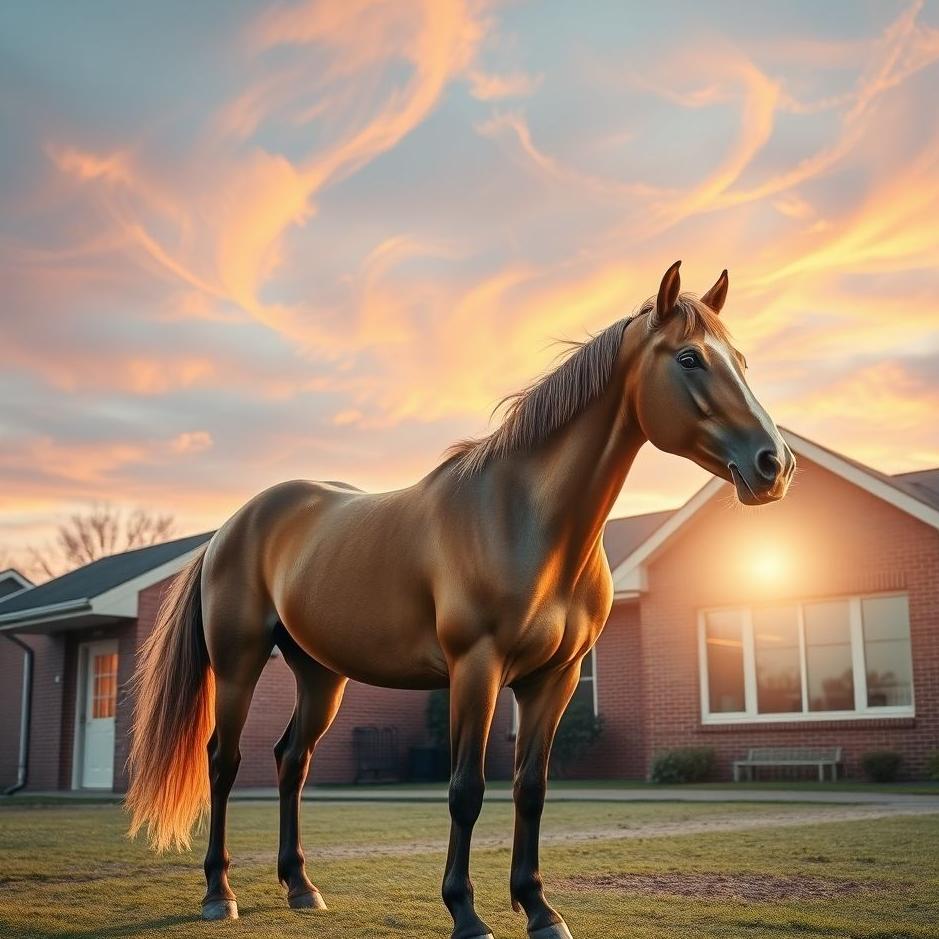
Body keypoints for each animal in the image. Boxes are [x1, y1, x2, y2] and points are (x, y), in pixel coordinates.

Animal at [127, 260, 794, 939]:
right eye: (689, 358)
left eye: (740, 359)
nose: (774, 464)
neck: (524, 518)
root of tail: (230, 527)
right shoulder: (476, 668)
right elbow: (466, 789)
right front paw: (466, 912)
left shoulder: (555, 678)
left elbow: (531, 789)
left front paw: (539, 908)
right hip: (237, 665)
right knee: (224, 761)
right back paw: (219, 893)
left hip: (321, 675)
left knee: (292, 761)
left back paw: (301, 887)